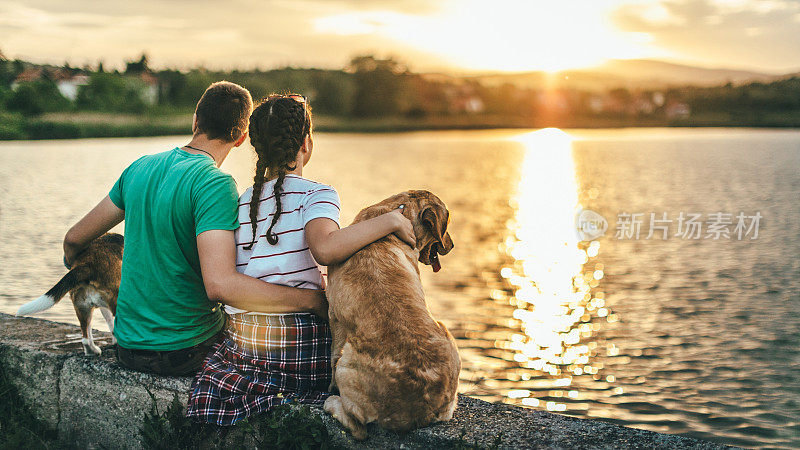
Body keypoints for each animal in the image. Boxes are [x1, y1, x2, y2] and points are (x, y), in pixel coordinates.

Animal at [324, 189, 460, 440]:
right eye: (447, 225)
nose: (452, 245)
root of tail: (420, 410)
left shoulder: (335, 316)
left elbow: (331, 356)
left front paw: (328, 389)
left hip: (347, 364)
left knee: (358, 428)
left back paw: (332, 403)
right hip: (445, 331)